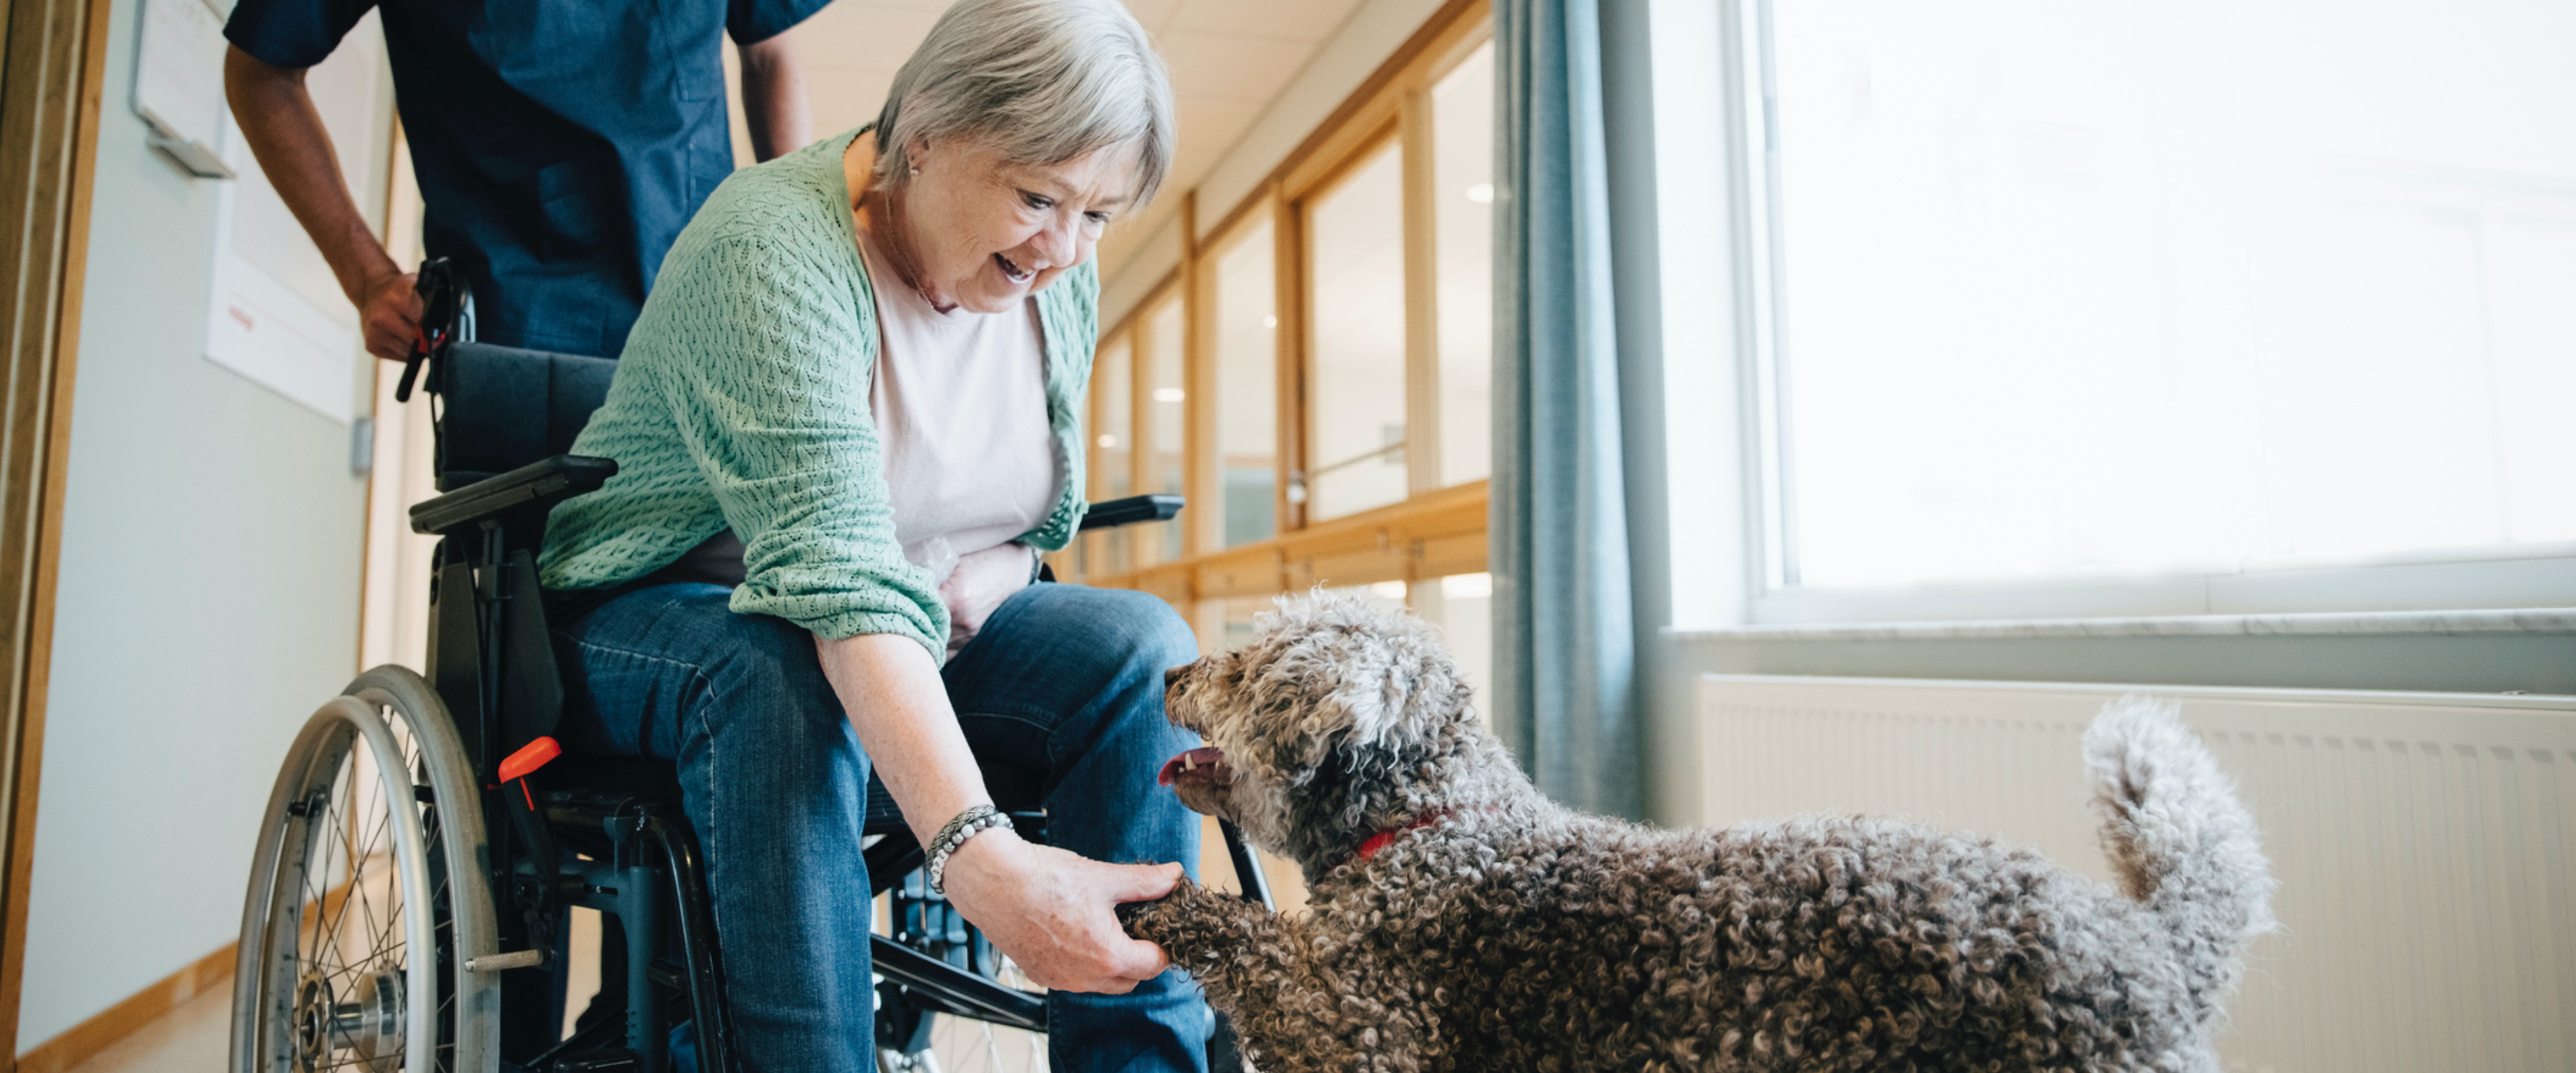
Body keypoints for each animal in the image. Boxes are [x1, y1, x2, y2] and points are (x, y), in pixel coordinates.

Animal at [1128, 588, 2276, 1065]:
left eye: (1245, 662)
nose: (1173, 672)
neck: (1431, 835)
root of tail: (2154, 946)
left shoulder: (1366, 1032)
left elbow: (1249, 937)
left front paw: (1166, 903)